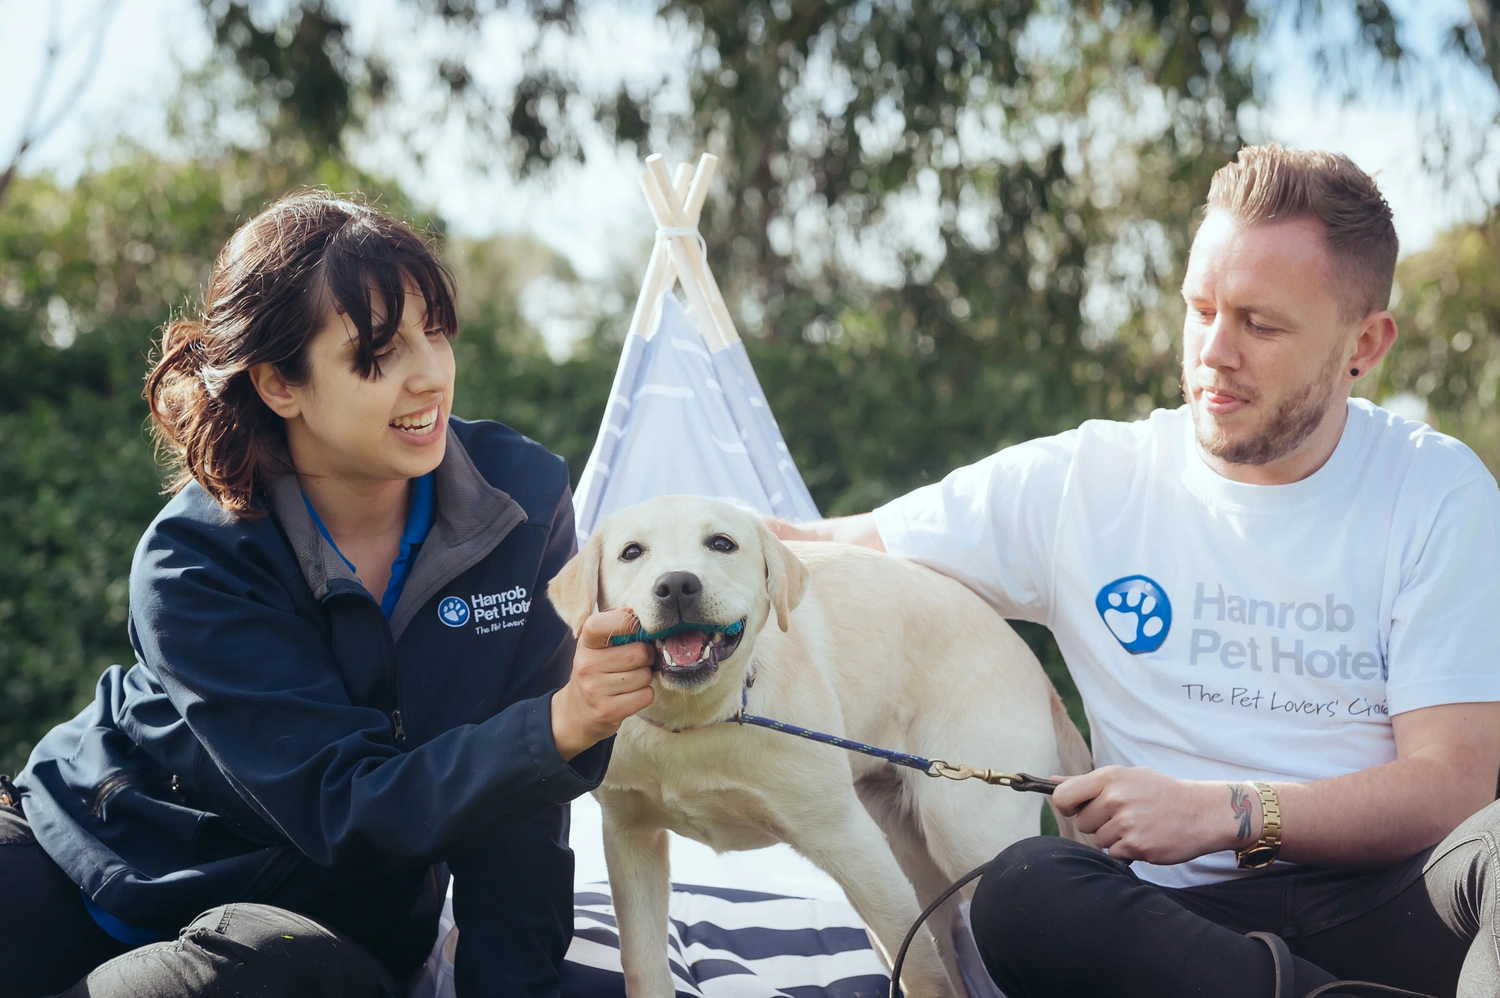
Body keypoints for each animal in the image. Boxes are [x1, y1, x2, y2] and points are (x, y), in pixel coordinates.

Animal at [552, 498, 1092, 996]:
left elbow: (919, 971)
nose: (677, 585)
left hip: (963, 837)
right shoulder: (630, 838)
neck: (696, 721)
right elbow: (642, 965)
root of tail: (1035, 667)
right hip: (911, 860)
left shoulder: (849, 841)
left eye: (722, 543)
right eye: (632, 552)